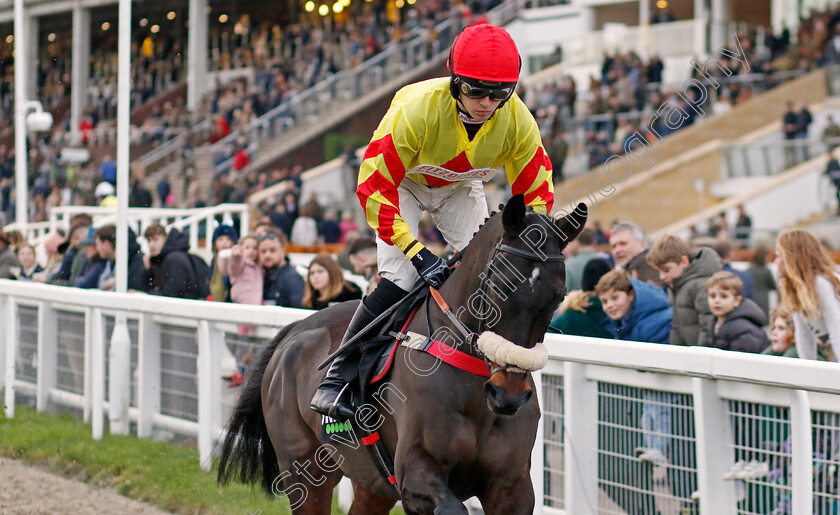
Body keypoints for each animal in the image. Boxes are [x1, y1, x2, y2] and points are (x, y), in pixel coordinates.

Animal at [220, 195, 588, 515]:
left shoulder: (512, 487)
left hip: (371, 481)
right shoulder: (414, 474)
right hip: (304, 471)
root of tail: (295, 329)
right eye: (499, 285)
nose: (508, 395)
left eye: (558, 296)